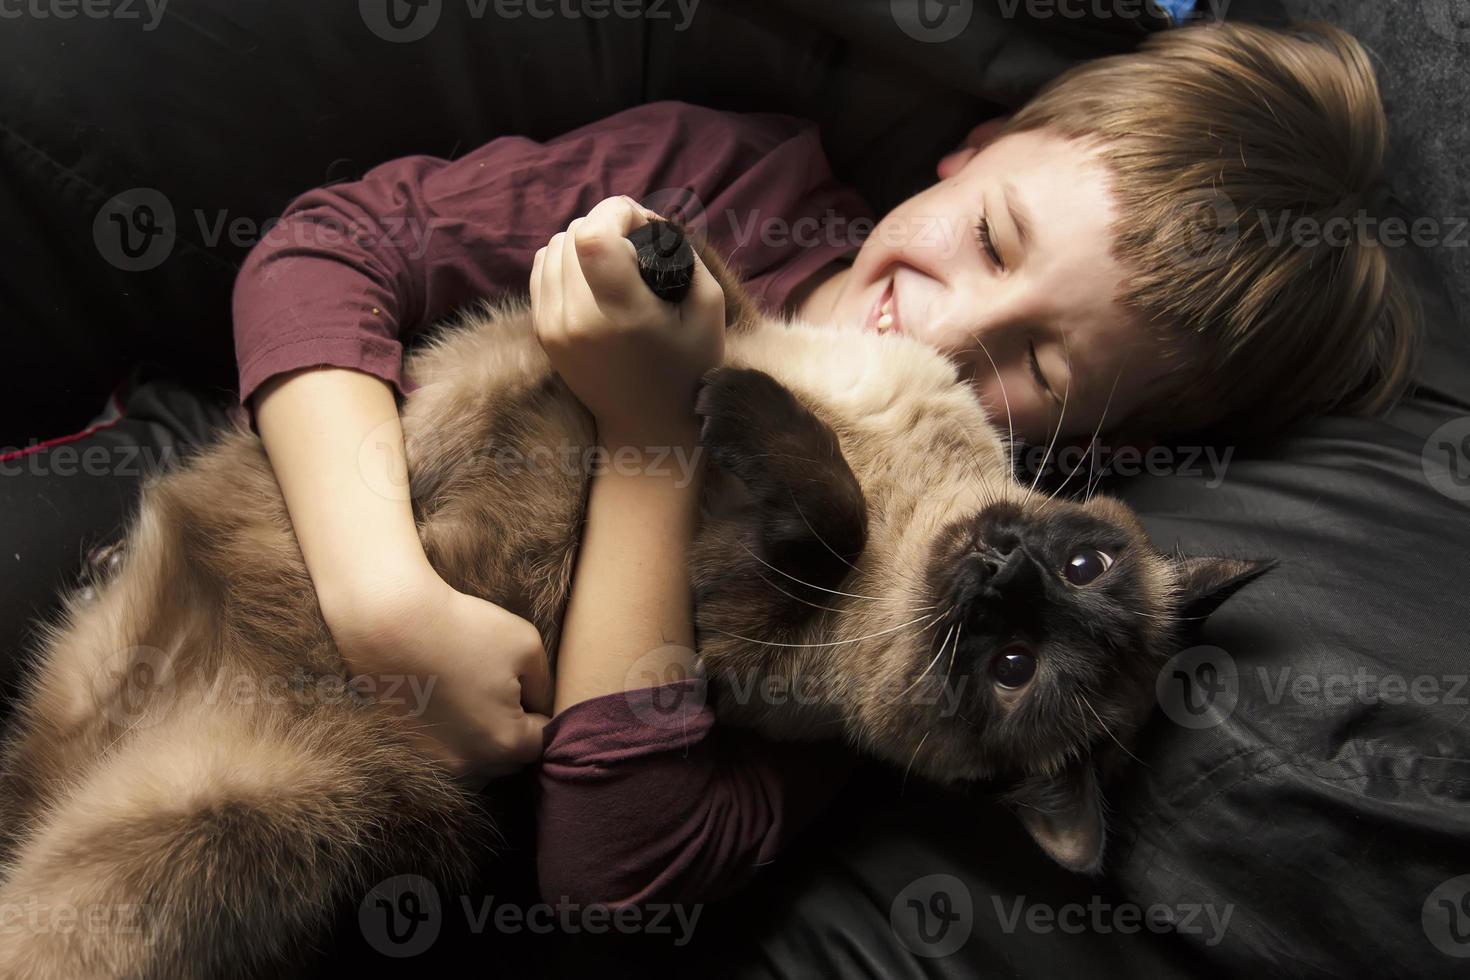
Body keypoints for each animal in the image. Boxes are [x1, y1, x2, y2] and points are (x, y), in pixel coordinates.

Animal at [0, 227, 1264, 975]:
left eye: (1012, 667)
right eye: (1085, 566)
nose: (1001, 572)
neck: (920, 510)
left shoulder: (739, 630)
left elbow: (816, 491)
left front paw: (727, 401)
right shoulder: (771, 331)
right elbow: (719, 290)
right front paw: (654, 262)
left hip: (158, 859)